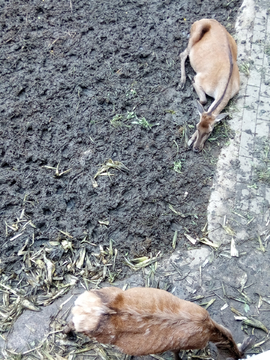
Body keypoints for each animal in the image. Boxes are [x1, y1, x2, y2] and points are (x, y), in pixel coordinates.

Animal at [179, 19, 240, 152]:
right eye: (197, 127)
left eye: (209, 132)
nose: (196, 148)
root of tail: (209, 20)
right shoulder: (201, 79)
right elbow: (203, 100)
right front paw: (189, 141)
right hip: (195, 33)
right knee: (183, 54)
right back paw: (182, 82)